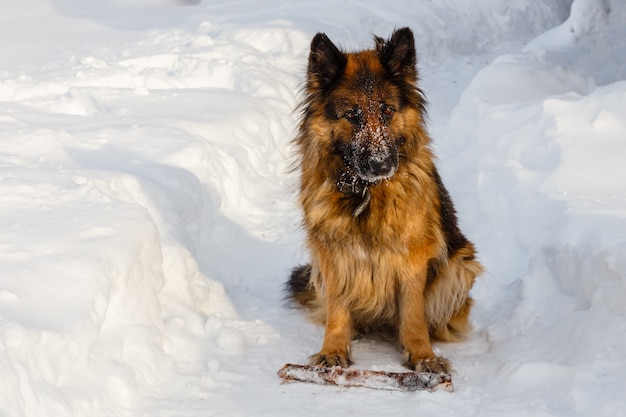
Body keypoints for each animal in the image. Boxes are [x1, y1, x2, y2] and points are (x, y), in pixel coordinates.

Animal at [286, 28, 480, 374]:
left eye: (387, 111)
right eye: (352, 115)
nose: (381, 166)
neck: (365, 191)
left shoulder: (413, 258)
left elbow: (413, 313)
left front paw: (422, 355)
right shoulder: (332, 255)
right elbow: (337, 308)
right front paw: (333, 350)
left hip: (461, 265)